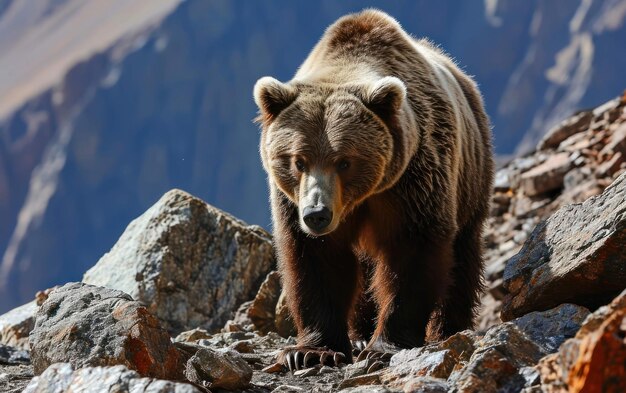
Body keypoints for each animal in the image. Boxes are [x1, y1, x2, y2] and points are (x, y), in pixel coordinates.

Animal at [251, 9, 490, 370]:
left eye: (344, 161)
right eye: (298, 160)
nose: (317, 214)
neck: (361, 197)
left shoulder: (414, 181)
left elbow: (411, 256)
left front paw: (384, 347)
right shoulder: (292, 204)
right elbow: (316, 261)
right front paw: (310, 351)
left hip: (470, 178)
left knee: (463, 257)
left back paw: (448, 329)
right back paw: (361, 332)